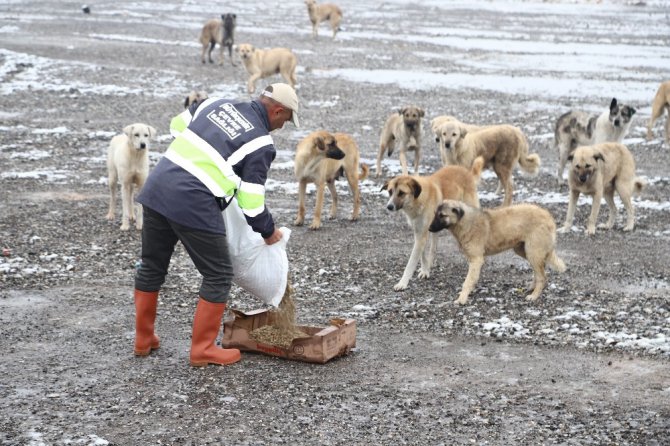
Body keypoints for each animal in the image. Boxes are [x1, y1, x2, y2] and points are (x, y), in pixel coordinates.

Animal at [380, 159, 486, 290]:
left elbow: (411, 262)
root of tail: (467, 172)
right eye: (390, 192)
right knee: (433, 248)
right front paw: (425, 270)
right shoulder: (419, 232)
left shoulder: (422, 234)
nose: (389, 207)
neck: (418, 200)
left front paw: (402, 283)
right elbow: (422, 254)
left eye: (401, 193)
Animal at [430, 200, 568, 304]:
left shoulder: (476, 260)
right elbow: (471, 279)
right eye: (435, 213)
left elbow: (468, 281)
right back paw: (531, 288)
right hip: (524, 251)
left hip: (532, 252)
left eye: (442, 215)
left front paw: (462, 299)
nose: (429, 228)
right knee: (540, 270)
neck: (465, 222)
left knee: (542, 276)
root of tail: (548, 215)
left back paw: (534, 296)